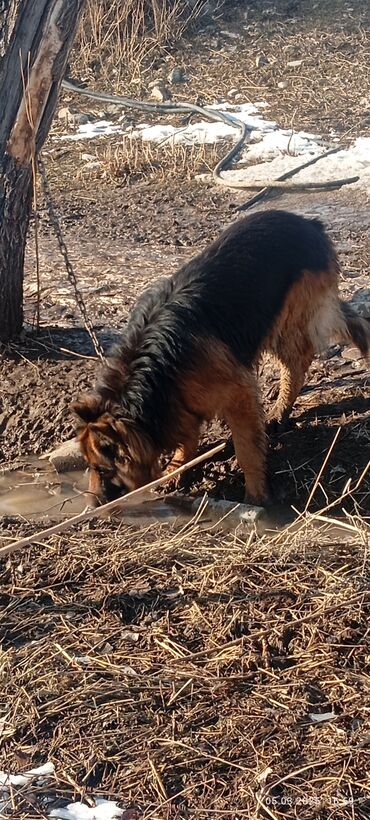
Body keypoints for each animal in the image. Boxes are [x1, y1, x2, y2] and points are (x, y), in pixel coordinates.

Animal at [71, 210, 368, 506]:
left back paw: (279, 410)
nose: (91, 506)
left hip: (287, 322)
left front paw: (255, 496)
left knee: (297, 363)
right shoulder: (181, 401)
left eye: (103, 469)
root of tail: (308, 224)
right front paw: (176, 469)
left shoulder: (239, 395)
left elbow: (247, 450)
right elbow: (187, 437)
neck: (155, 371)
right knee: (349, 321)